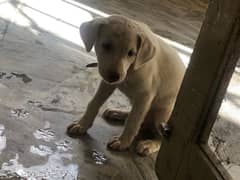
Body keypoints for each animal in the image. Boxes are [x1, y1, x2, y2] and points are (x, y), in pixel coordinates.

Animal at [66, 15, 185, 156]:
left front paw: (122, 142)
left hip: (164, 113)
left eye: (131, 53)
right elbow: (94, 103)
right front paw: (82, 124)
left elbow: (133, 121)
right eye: (106, 45)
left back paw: (149, 144)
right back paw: (118, 113)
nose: (114, 76)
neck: (131, 70)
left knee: (161, 137)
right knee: (140, 118)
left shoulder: (145, 96)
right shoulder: (107, 83)